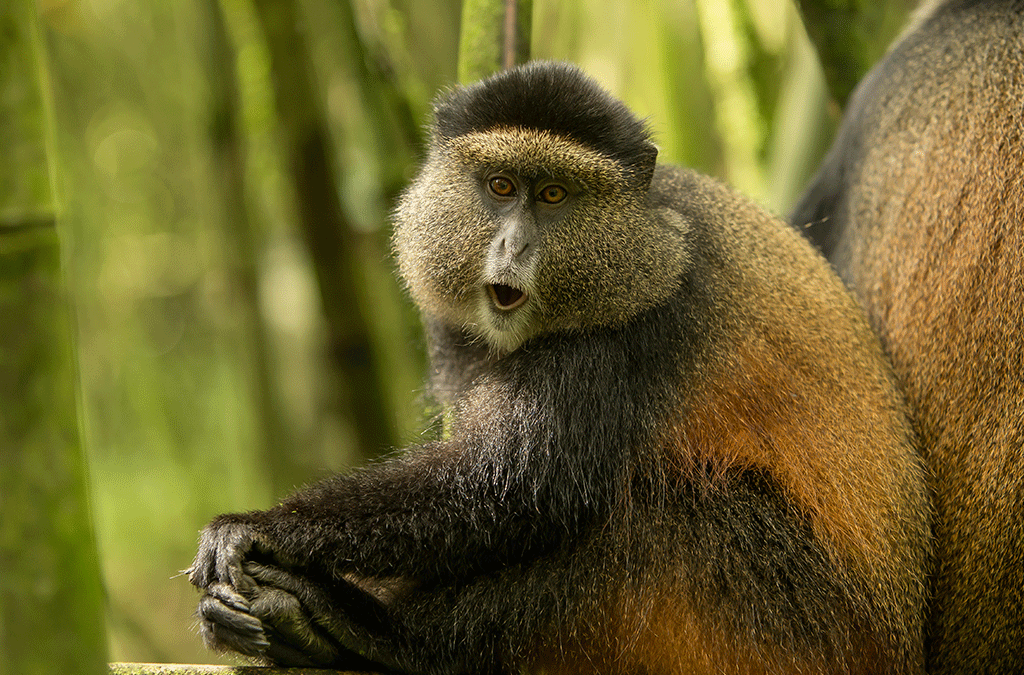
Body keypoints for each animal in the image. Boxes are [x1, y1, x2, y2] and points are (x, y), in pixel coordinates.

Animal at [189, 61, 930, 674]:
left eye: (554, 195)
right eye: (500, 186)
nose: (513, 247)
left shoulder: (628, 333)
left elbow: (518, 486)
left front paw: (263, 528)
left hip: (793, 624)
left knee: (666, 527)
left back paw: (374, 635)